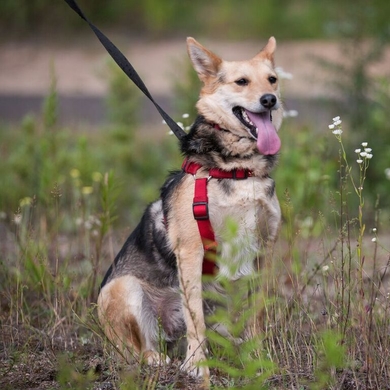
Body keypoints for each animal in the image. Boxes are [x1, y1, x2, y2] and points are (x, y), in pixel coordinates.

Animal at [96, 36, 282, 386]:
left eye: (273, 79)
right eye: (241, 82)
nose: (270, 100)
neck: (237, 168)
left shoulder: (264, 252)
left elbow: (258, 312)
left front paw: (259, 359)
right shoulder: (192, 251)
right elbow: (195, 320)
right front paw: (197, 367)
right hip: (122, 289)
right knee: (140, 352)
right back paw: (162, 360)